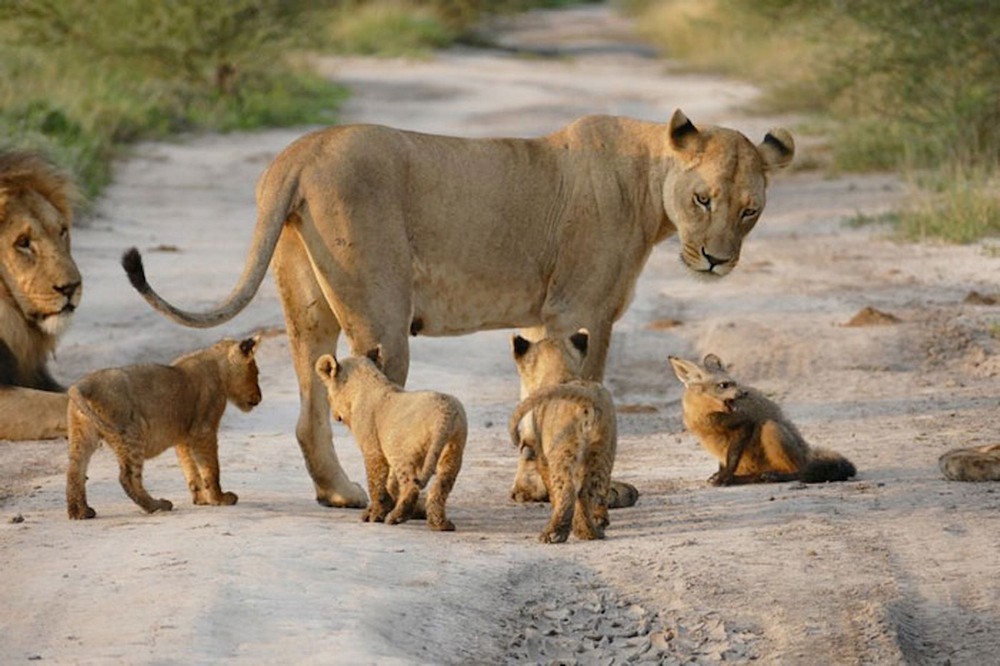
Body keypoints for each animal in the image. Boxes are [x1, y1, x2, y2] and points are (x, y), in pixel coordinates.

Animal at [668, 354, 856, 485]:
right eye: (724, 385)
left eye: (735, 382)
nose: (744, 393)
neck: (705, 419)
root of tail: (807, 452)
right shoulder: (714, 442)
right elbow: (723, 462)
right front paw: (722, 476)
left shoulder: (744, 423)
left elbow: (731, 460)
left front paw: (725, 478)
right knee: (755, 476)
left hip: (771, 428)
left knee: (799, 471)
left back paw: (775, 477)